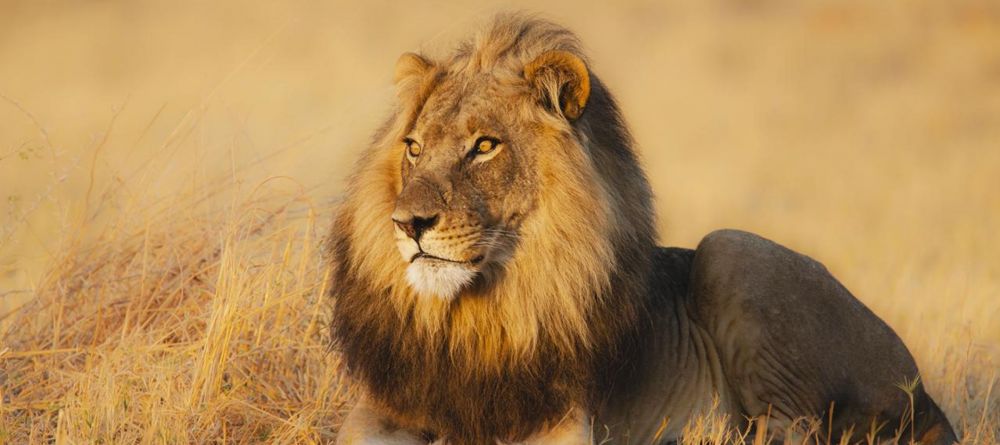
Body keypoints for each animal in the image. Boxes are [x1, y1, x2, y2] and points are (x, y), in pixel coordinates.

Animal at [326, 13, 952, 444]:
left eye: (484, 146)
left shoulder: (565, 421)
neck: (478, 316)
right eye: (413, 148)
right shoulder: (380, 410)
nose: (408, 223)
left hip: (732, 251)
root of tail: (927, 396)